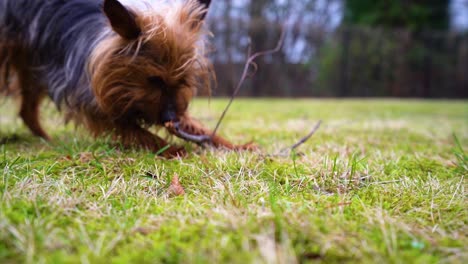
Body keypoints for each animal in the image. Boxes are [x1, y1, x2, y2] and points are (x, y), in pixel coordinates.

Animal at [0, 0, 256, 157]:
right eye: (154, 80)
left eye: (182, 81)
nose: (170, 118)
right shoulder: (91, 98)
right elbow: (132, 128)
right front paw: (171, 149)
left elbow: (198, 127)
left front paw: (236, 146)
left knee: (26, 110)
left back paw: (46, 138)